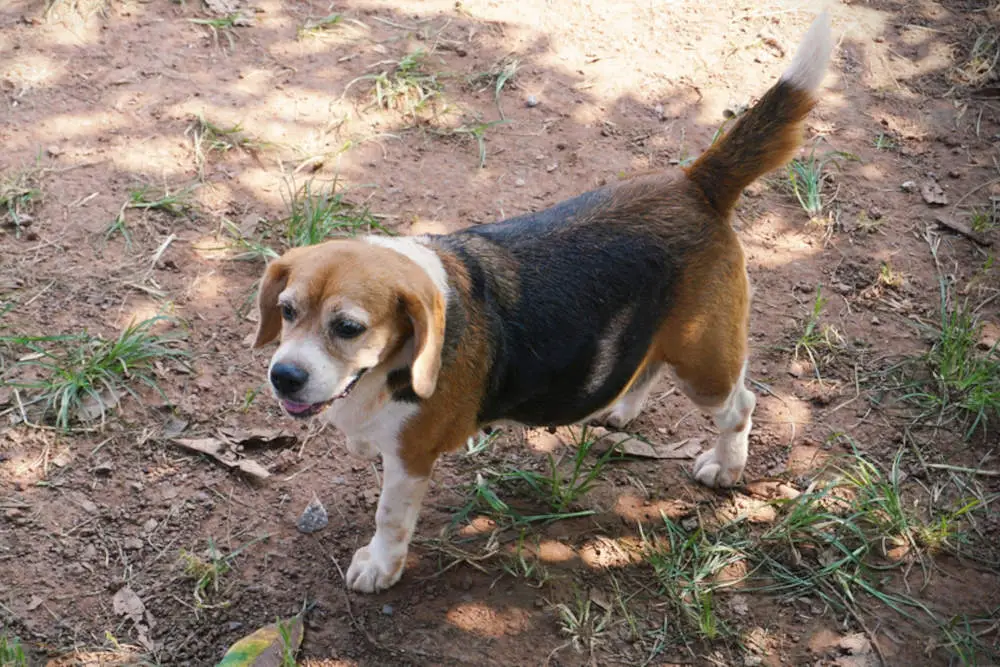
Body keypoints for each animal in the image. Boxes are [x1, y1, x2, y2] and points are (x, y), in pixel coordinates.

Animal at [254, 13, 832, 592]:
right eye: (287, 311)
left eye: (348, 327)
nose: (284, 377)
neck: (386, 370)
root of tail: (696, 185)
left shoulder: (409, 461)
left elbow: (389, 520)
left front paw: (379, 566)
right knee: (645, 366)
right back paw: (620, 408)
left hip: (703, 363)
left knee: (740, 405)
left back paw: (727, 465)